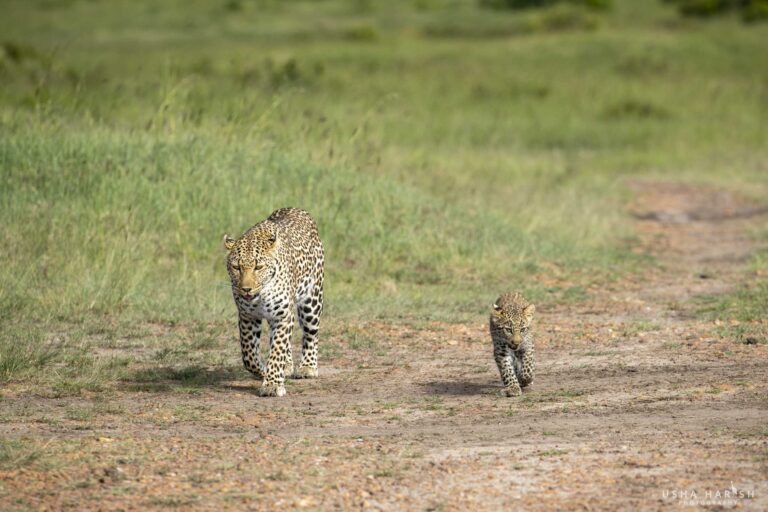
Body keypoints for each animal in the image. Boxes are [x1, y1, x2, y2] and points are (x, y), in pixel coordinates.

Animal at [224, 207, 324, 397]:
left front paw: (272, 384)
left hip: (312, 302)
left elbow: (277, 350)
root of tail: (295, 209)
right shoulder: (247, 316)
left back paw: (308, 367)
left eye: (258, 267)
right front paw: (264, 372)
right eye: (236, 267)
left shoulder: (283, 314)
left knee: (310, 334)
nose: (246, 289)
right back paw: (287, 366)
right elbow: (249, 355)